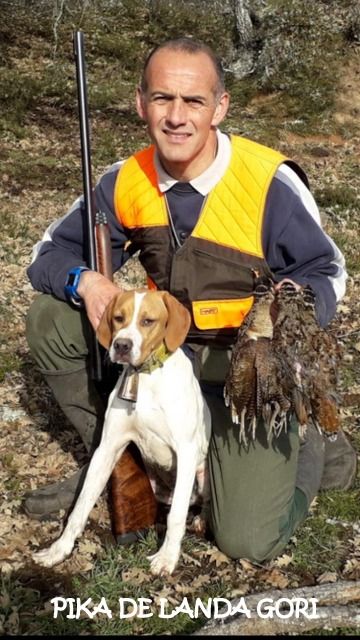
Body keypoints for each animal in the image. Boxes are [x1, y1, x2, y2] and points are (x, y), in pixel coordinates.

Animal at [33, 290, 211, 576]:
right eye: (118, 318)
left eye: (148, 321)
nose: (122, 345)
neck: (146, 377)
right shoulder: (107, 448)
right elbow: (80, 505)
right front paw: (58, 550)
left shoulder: (185, 450)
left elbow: (176, 516)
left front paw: (167, 558)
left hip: (201, 472)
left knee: (201, 502)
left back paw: (200, 521)